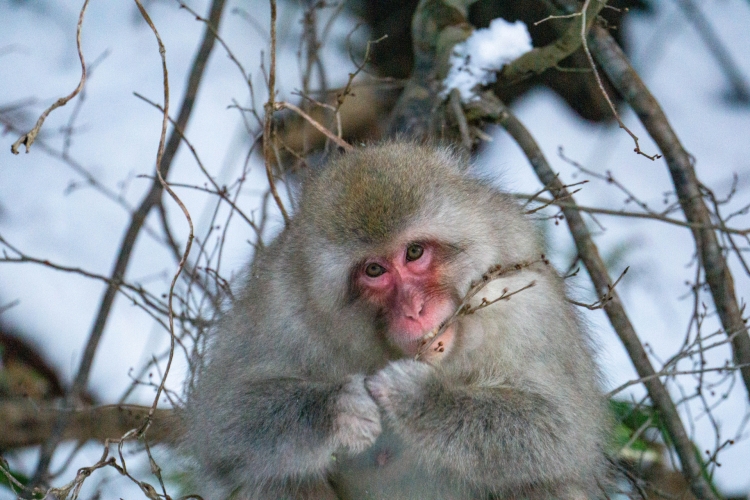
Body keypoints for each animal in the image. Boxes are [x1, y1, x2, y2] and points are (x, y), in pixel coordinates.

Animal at [182, 142, 612, 500]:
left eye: (415, 252)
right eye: (375, 270)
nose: (414, 310)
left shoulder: (524, 298)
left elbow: (560, 428)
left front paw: (424, 400)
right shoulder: (282, 307)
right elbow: (224, 420)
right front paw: (340, 407)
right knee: (272, 473)